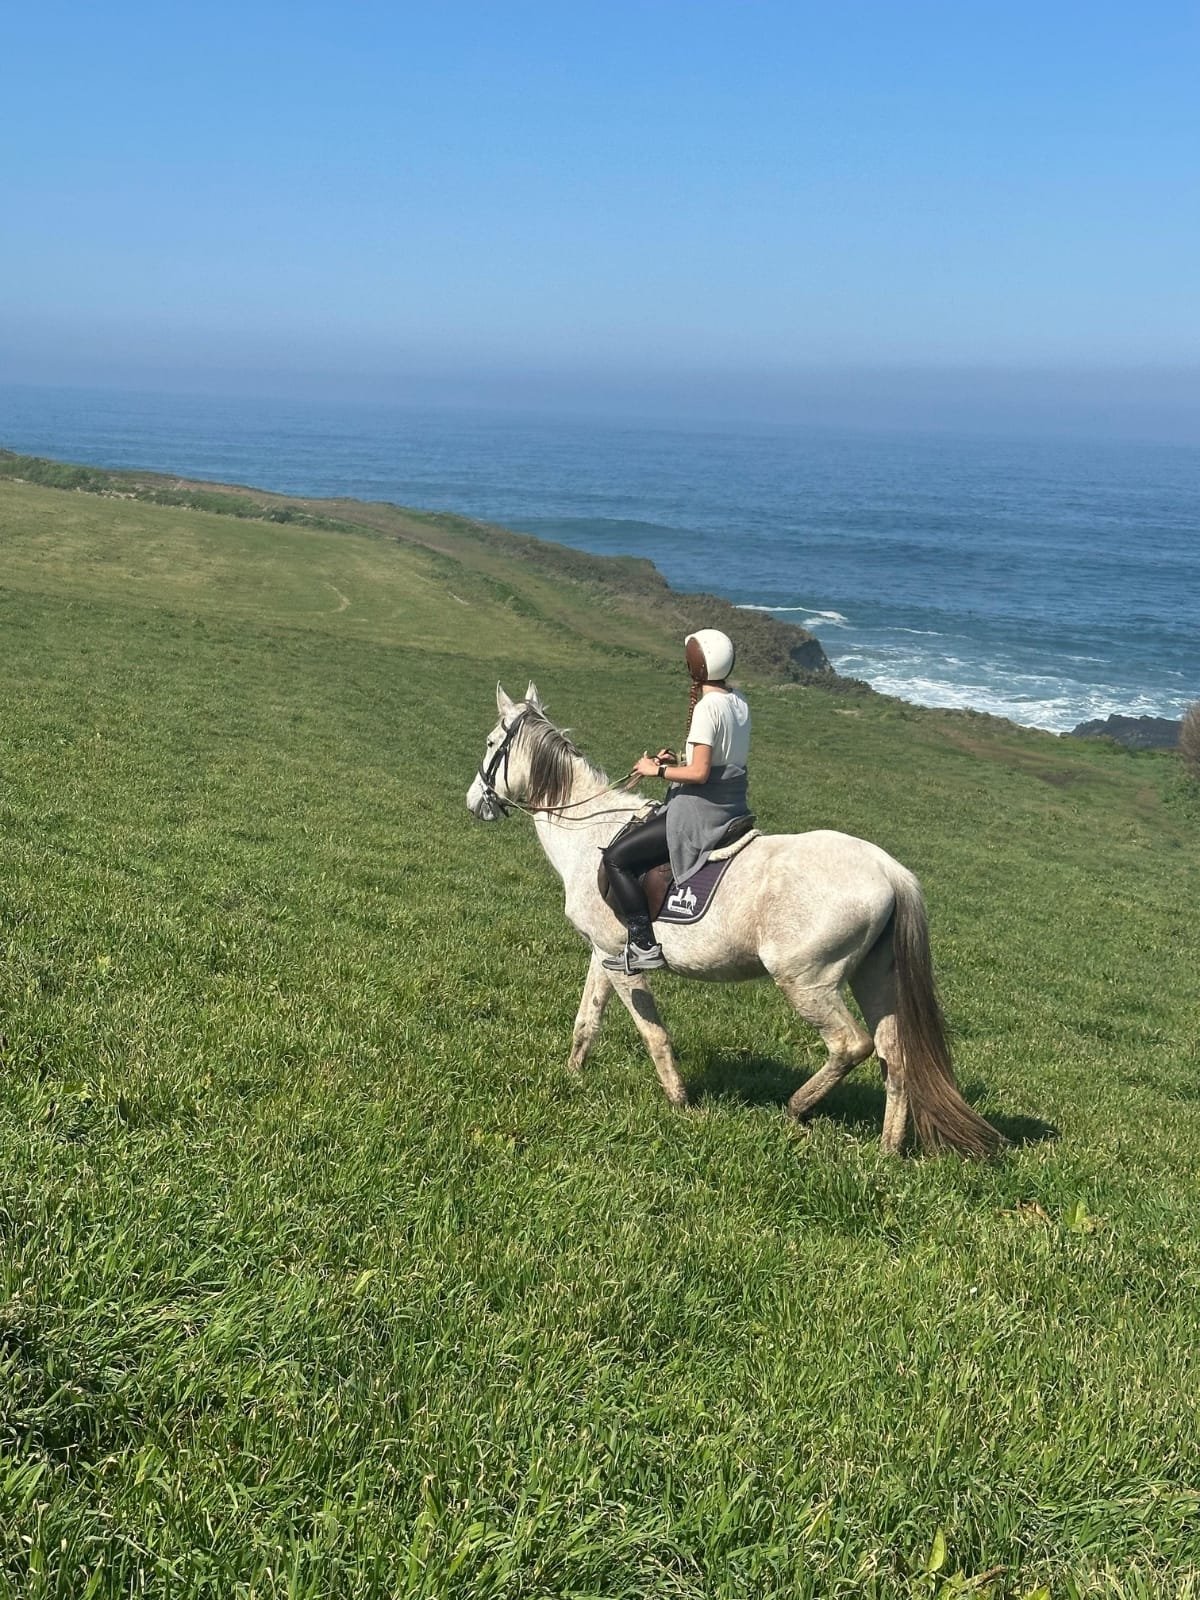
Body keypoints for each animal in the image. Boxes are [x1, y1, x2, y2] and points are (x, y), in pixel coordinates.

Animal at [466, 682, 1002, 1158]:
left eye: (492, 743)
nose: (475, 802)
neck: (590, 833)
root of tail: (889, 870)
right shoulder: (605, 952)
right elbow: (588, 1019)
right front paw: (573, 1074)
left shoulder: (621, 959)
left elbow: (652, 1032)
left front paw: (679, 1100)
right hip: (875, 978)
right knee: (896, 1056)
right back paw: (887, 1150)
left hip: (807, 981)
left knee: (852, 1045)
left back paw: (797, 1106)